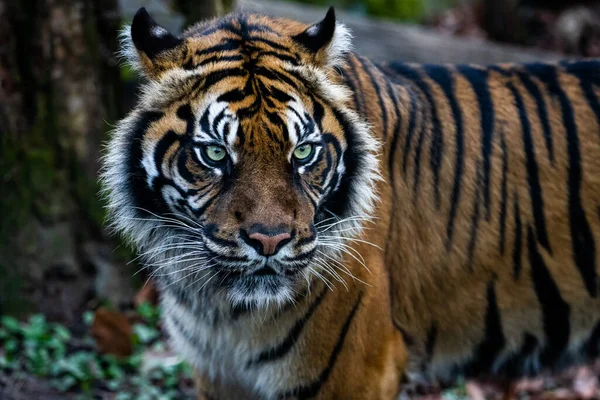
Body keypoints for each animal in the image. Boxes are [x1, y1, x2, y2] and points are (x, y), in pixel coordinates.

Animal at [101, 6, 600, 400]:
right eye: (216, 154)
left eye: (304, 152)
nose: (270, 242)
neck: (219, 307)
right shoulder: (219, 377)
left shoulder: (357, 372)